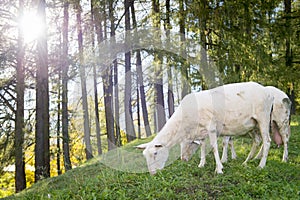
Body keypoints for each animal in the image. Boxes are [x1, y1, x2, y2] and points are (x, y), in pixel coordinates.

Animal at [138, 82, 274, 174]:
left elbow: (213, 147)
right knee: (257, 141)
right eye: (144, 156)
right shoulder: (201, 131)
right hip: (252, 124)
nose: (152, 173)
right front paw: (201, 164)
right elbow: (203, 147)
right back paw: (246, 162)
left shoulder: (211, 127)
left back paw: (261, 165)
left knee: (267, 141)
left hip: (263, 118)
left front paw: (219, 169)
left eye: (155, 153)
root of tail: (267, 92)